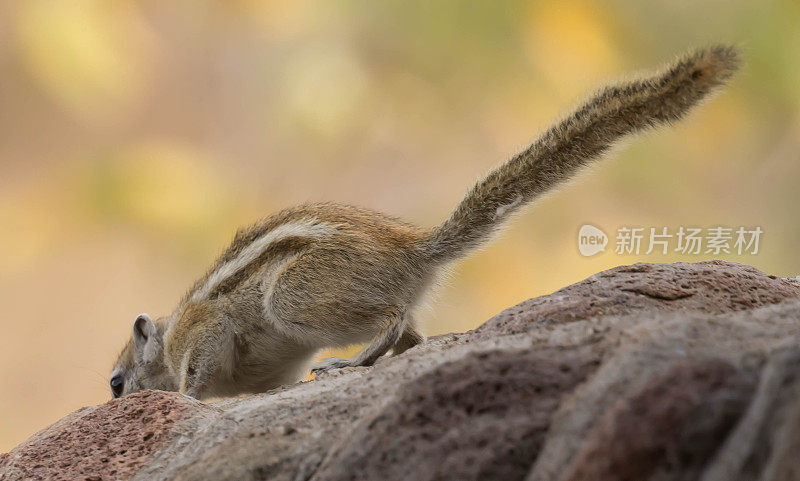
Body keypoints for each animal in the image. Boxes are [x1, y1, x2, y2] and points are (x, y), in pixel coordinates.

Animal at [109, 44, 740, 398]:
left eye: (115, 384)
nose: (116, 397)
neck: (166, 334)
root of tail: (414, 252)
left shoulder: (203, 331)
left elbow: (196, 374)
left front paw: (182, 399)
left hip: (293, 298)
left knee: (392, 321)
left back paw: (348, 362)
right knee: (412, 334)